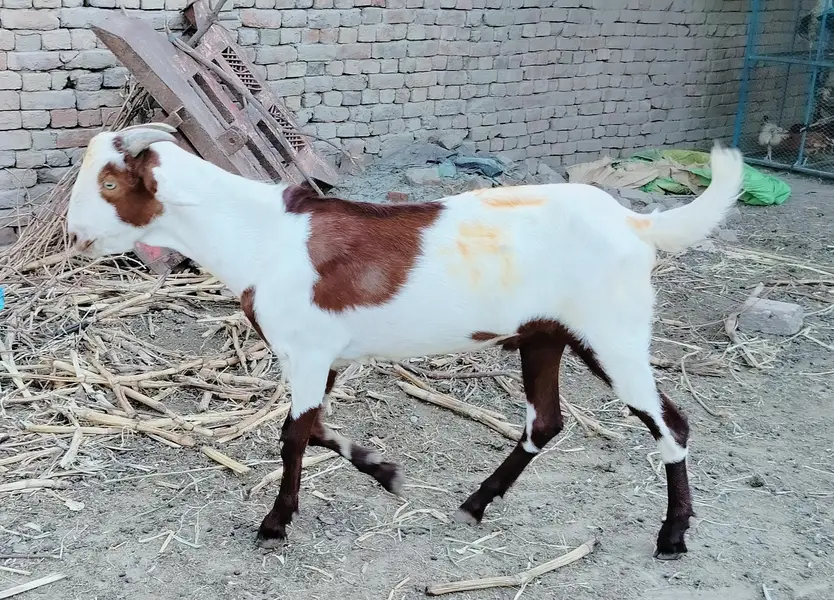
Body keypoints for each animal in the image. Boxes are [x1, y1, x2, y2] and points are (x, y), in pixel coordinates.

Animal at [67, 123, 744, 560]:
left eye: (109, 186)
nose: (74, 237)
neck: (258, 233)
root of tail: (637, 223)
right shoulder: (323, 355)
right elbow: (314, 428)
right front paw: (384, 471)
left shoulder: (305, 350)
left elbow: (293, 435)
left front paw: (275, 523)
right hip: (545, 334)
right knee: (545, 421)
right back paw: (477, 503)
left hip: (612, 333)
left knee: (670, 423)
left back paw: (672, 536)